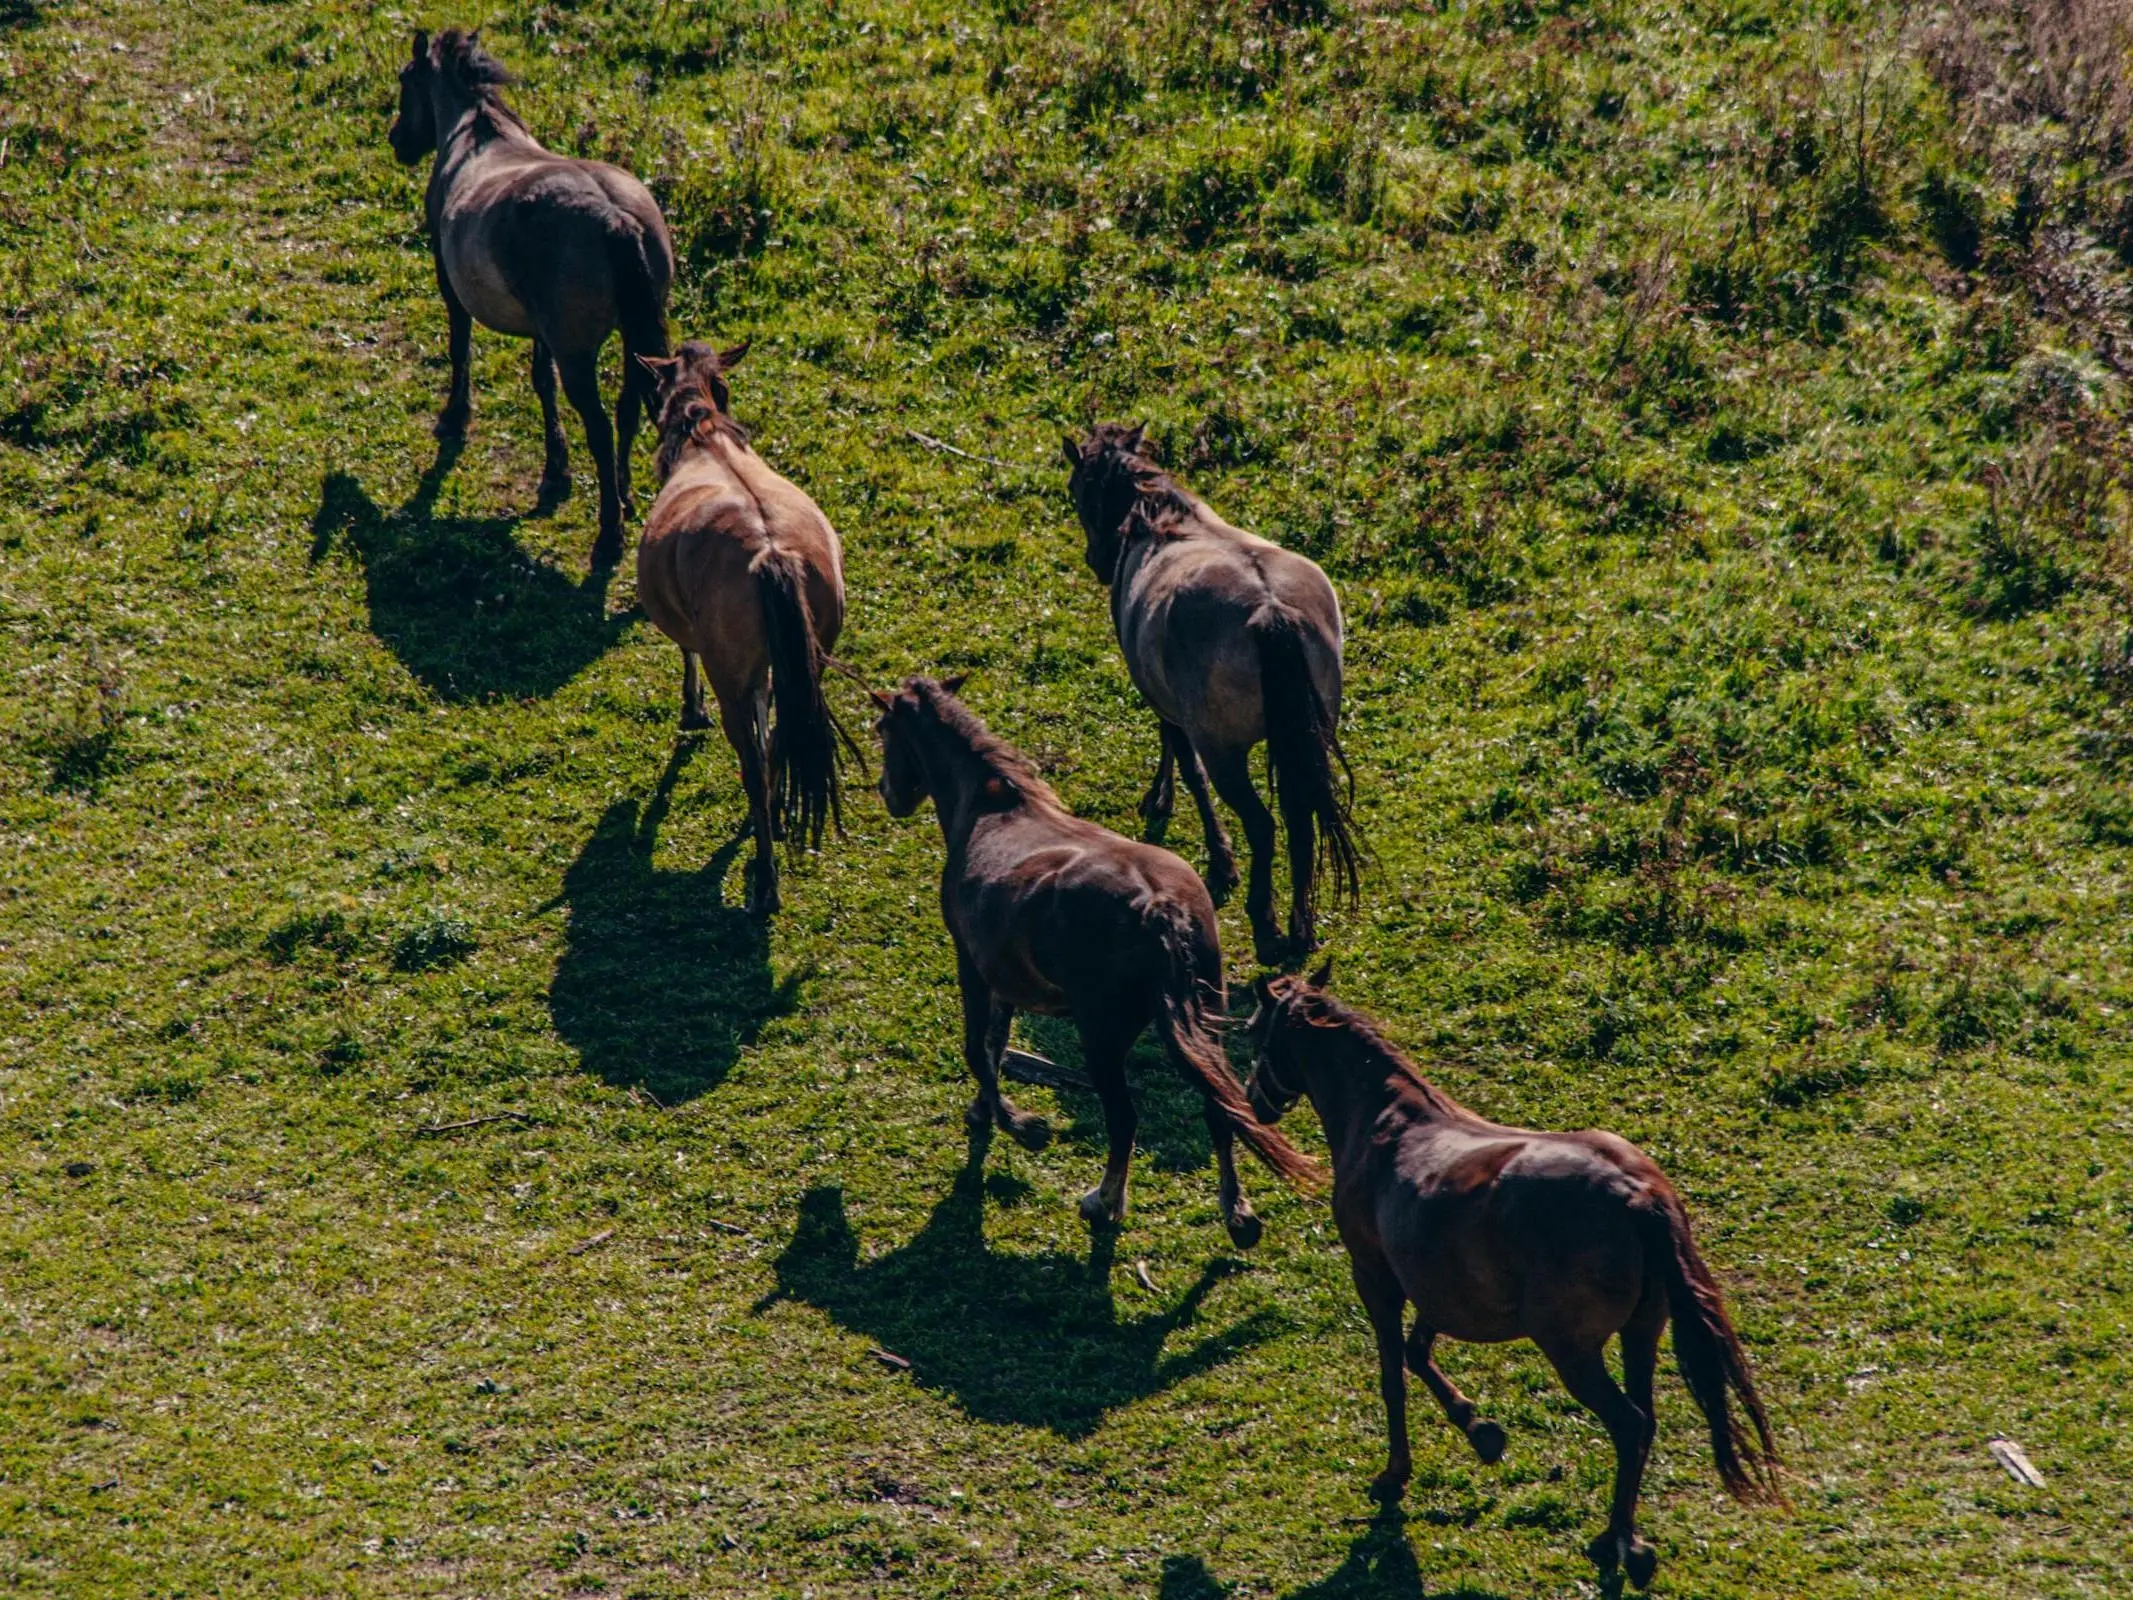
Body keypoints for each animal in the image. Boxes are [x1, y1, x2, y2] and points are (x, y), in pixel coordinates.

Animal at [388, 26, 669, 571]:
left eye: (406, 80)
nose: (397, 142)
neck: (476, 137)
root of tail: (616, 219)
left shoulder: (449, 284)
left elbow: (460, 350)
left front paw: (454, 418)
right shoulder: (544, 331)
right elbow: (543, 383)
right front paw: (555, 471)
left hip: (580, 354)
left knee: (600, 428)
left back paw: (609, 534)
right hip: (632, 342)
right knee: (628, 410)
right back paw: (624, 498)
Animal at [635, 341, 853, 913]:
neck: (704, 434)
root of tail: (771, 553)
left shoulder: (711, 651)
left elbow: (687, 654)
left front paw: (691, 709)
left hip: (731, 674)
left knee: (754, 762)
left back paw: (766, 881)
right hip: (808, 660)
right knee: (779, 739)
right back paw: (772, 823)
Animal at [865, 674, 1313, 1237]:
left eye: (883, 729)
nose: (888, 793)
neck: (992, 808)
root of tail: (1159, 908)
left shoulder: (973, 966)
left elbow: (977, 1048)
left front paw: (1021, 1126)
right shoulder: (1008, 980)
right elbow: (995, 1045)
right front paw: (984, 1111)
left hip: (1101, 1039)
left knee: (1123, 1119)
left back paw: (1105, 1202)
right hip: (1205, 1019)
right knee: (1220, 1107)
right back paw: (1237, 1212)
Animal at [1057, 422, 1356, 964]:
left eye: (1077, 489)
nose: (1098, 562)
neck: (1158, 518)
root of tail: (1271, 612)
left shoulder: (1166, 703)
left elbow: (1182, 760)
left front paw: (1209, 849)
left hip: (1225, 751)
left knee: (1263, 824)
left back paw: (1266, 926)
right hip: (1308, 738)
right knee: (1300, 822)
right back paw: (1300, 928)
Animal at [1245, 972, 1774, 1587]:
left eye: (1255, 1031)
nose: (1254, 1099)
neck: (1386, 1122)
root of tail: (1640, 1195)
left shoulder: (1374, 1276)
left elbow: (1392, 1373)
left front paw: (1396, 1472)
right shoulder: (1439, 1290)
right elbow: (1417, 1353)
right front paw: (1482, 1431)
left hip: (1573, 1351)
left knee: (1628, 1423)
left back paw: (1617, 1541)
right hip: (1641, 1333)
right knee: (1645, 1422)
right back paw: (1625, 1537)